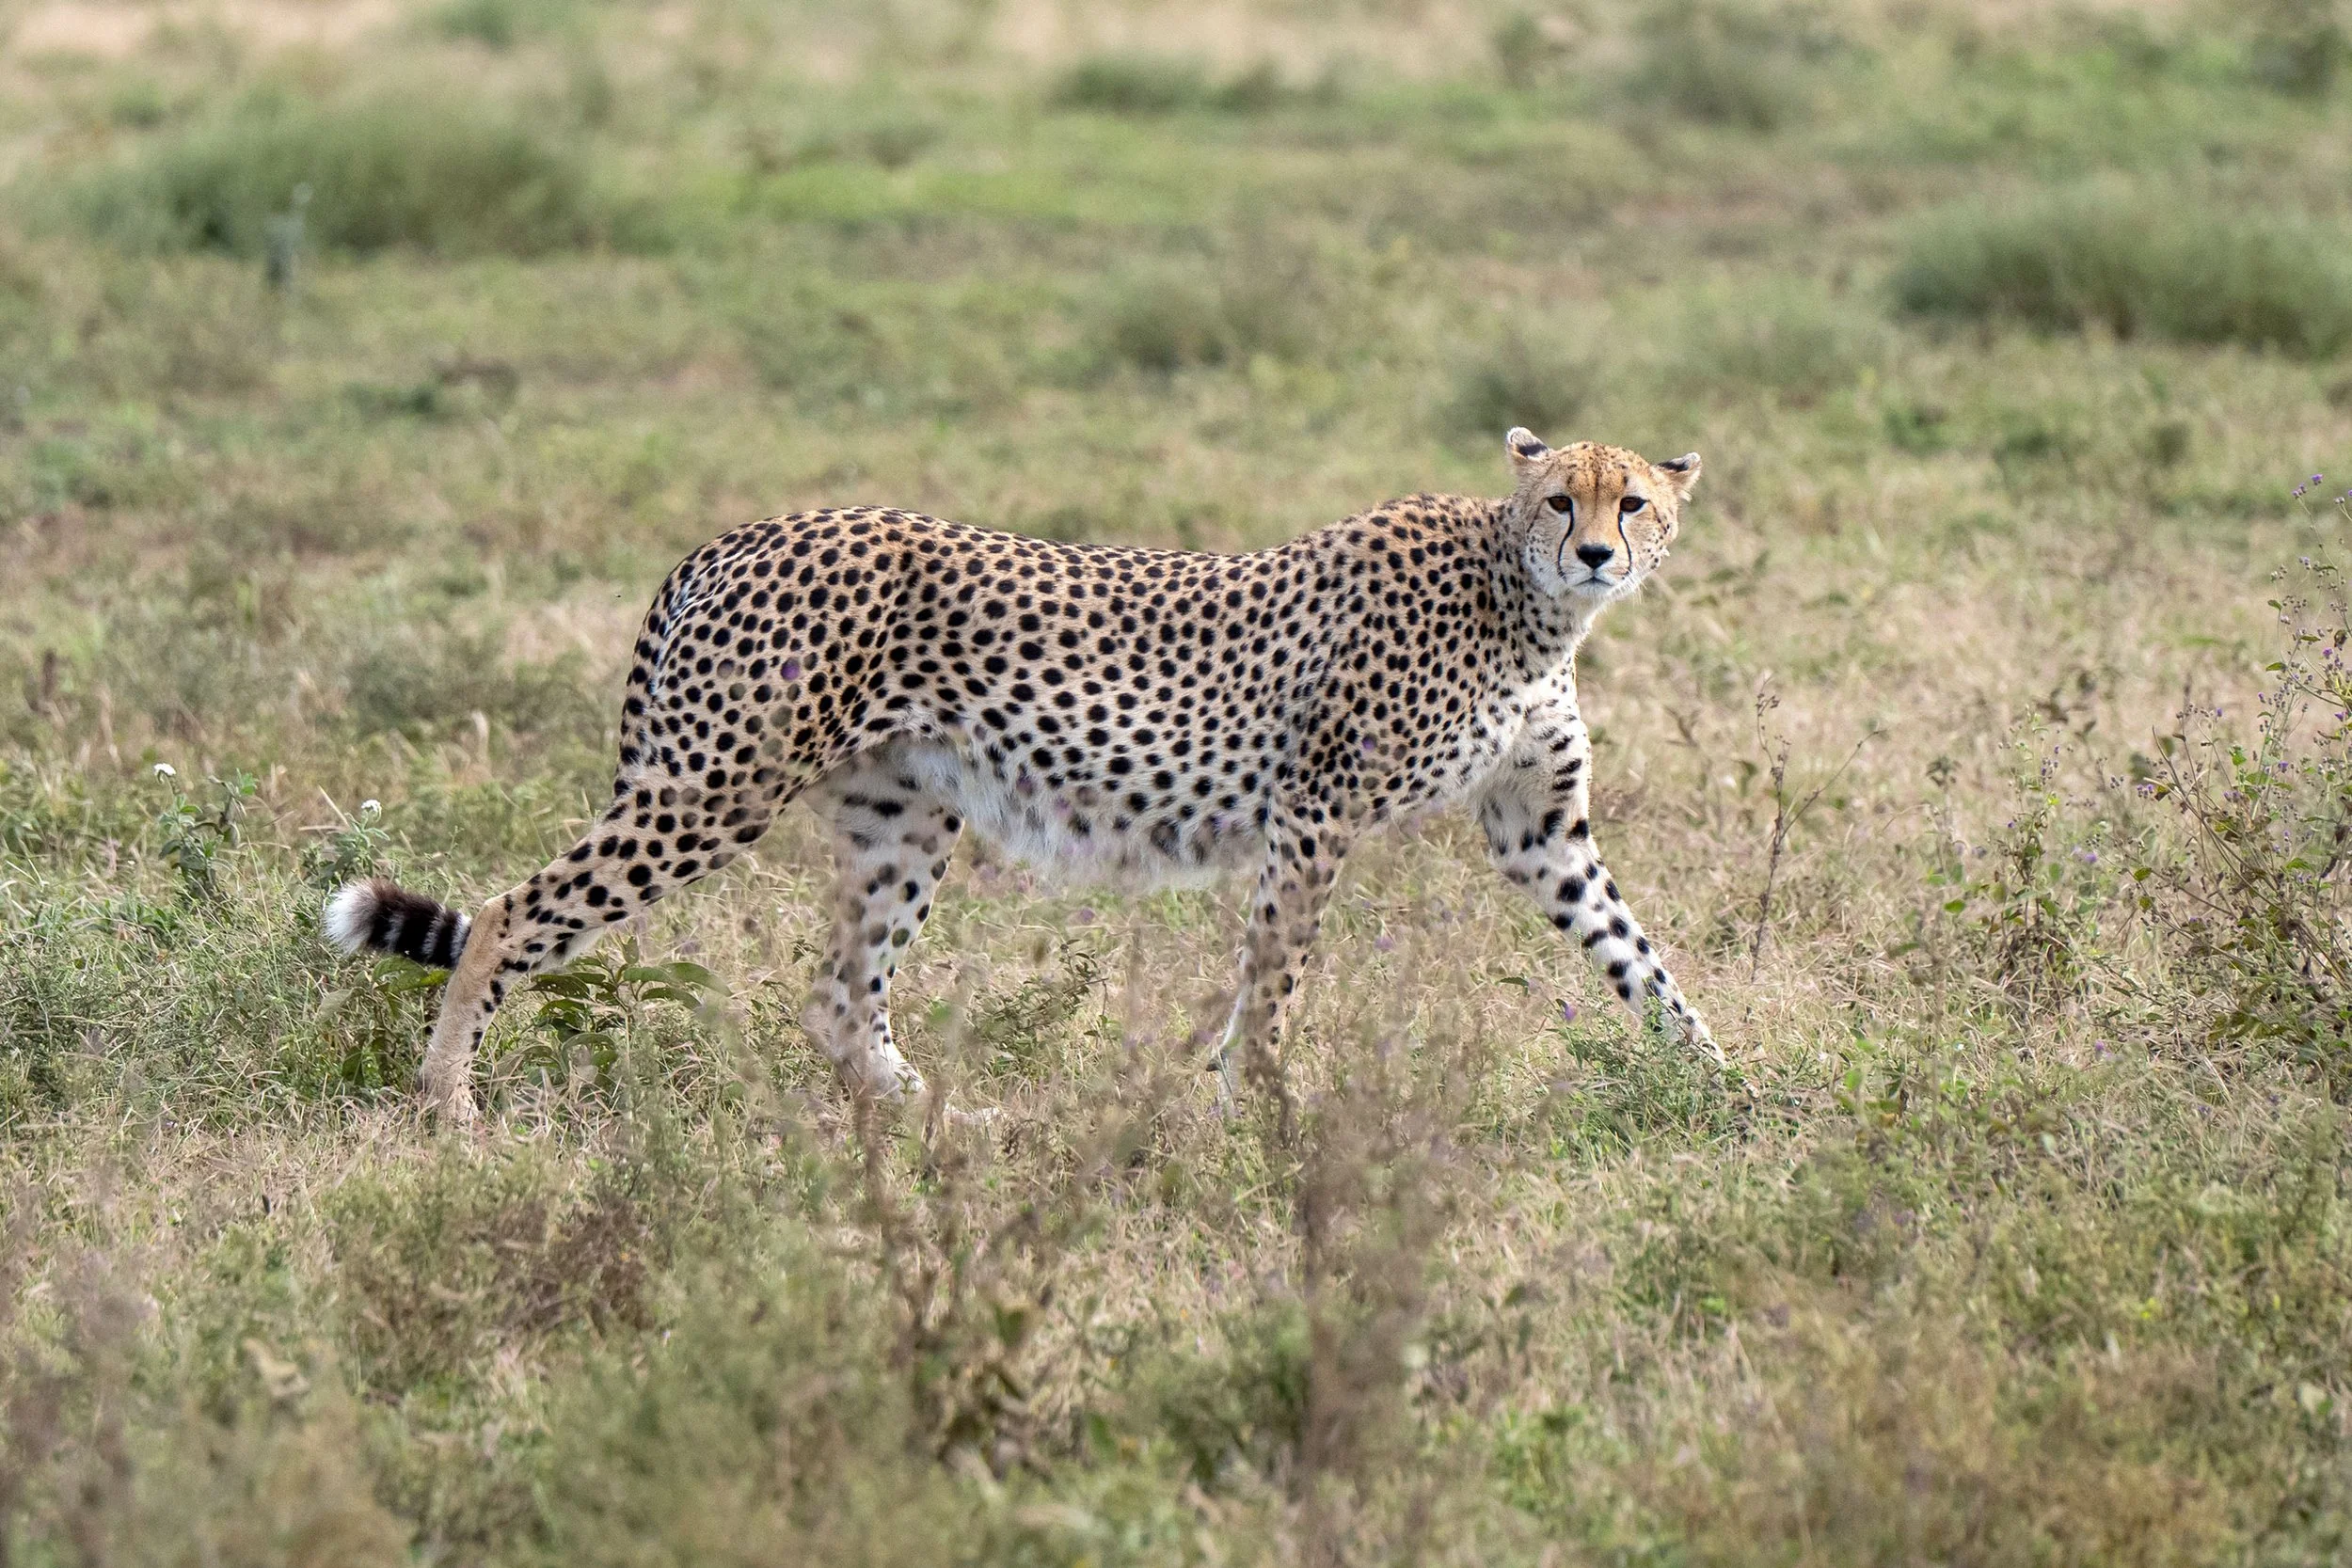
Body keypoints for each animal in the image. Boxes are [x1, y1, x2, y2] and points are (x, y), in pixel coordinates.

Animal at [325, 427, 1720, 1124]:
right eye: (1559, 499)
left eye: (1634, 502)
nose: (1598, 553)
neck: (1522, 600)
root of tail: (740, 531)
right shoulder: (1314, 809)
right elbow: (1275, 977)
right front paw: (1265, 1106)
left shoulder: (1538, 829)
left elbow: (1639, 955)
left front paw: (1724, 1084)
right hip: (713, 787)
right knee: (510, 911)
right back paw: (448, 1106)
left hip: (902, 812)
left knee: (836, 994)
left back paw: (939, 1117)